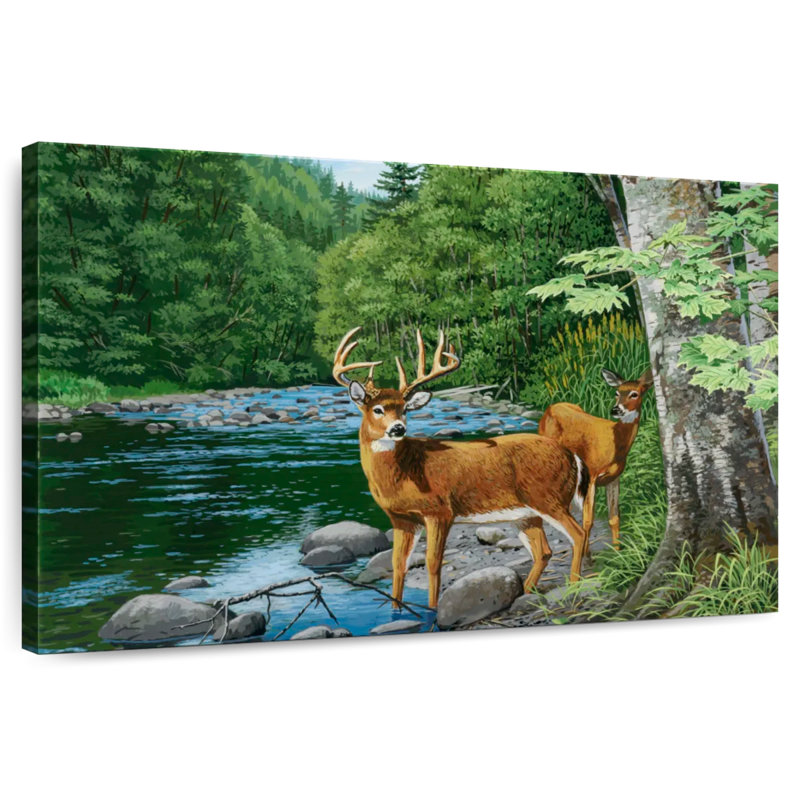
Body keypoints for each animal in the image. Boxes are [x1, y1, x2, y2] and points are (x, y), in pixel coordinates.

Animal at [332, 326, 591, 610]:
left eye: (404, 409)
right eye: (377, 409)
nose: (398, 428)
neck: (404, 474)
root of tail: (572, 456)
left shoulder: (440, 510)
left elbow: (433, 563)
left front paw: (432, 610)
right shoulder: (401, 519)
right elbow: (398, 564)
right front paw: (396, 611)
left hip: (548, 497)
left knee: (578, 534)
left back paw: (574, 585)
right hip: (526, 515)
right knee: (544, 551)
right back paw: (524, 591)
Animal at [538, 367, 654, 554]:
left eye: (634, 394)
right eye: (616, 393)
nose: (616, 410)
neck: (614, 444)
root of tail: (551, 406)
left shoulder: (614, 478)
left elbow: (614, 518)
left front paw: (617, 552)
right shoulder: (591, 475)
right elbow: (588, 521)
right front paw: (586, 555)